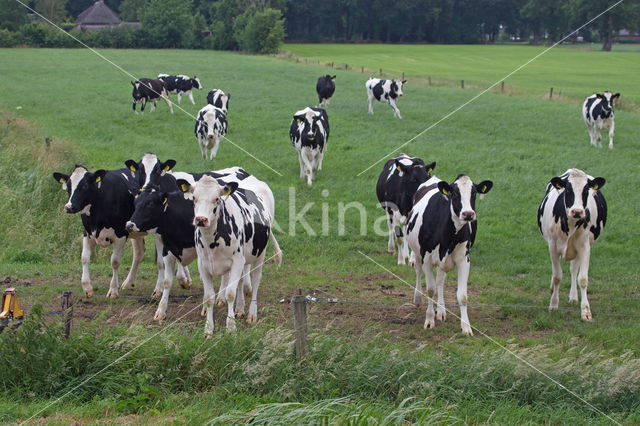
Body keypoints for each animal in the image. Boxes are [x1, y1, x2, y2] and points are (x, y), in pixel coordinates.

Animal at [52, 165, 144, 298]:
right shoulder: (87, 232)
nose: (69, 207)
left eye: (85, 186)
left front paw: (113, 290)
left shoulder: (121, 234)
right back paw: (127, 283)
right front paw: (87, 287)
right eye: (68, 186)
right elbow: (84, 257)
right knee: (138, 253)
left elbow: (115, 261)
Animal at [125, 166, 250, 320]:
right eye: (135, 204)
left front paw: (205, 308)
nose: (129, 225)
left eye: (150, 204)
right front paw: (161, 310)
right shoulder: (168, 249)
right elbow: (167, 281)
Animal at [178, 175, 282, 334]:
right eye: (194, 198)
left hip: (260, 253)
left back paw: (252, 314)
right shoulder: (203, 264)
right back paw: (239, 308)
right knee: (241, 279)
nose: (201, 219)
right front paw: (208, 329)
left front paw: (231, 326)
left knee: (256, 279)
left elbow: (230, 294)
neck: (211, 242)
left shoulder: (237, 260)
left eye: (217, 199)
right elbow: (209, 297)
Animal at [408, 175, 492, 334]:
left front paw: (466, 326)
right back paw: (417, 298)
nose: (468, 214)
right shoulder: (426, 258)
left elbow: (462, 295)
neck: (449, 235)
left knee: (440, 281)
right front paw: (429, 320)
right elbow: (430, 289)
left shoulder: (464, 260)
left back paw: (441, 310)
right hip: (417, 253)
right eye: (454, 194)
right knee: (418, 271)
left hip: (443, 262)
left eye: (473, 193)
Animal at [536, 168, 608, 322]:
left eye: (586, 190)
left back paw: (574, 297)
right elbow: (557, 276)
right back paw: (553, 289)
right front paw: (553, 305)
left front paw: (585, 311)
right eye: (568, 190)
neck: (570, 224)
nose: (577, 211)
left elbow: (583, 278)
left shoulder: (584, 246)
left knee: (574, 269)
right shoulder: (552, 246)